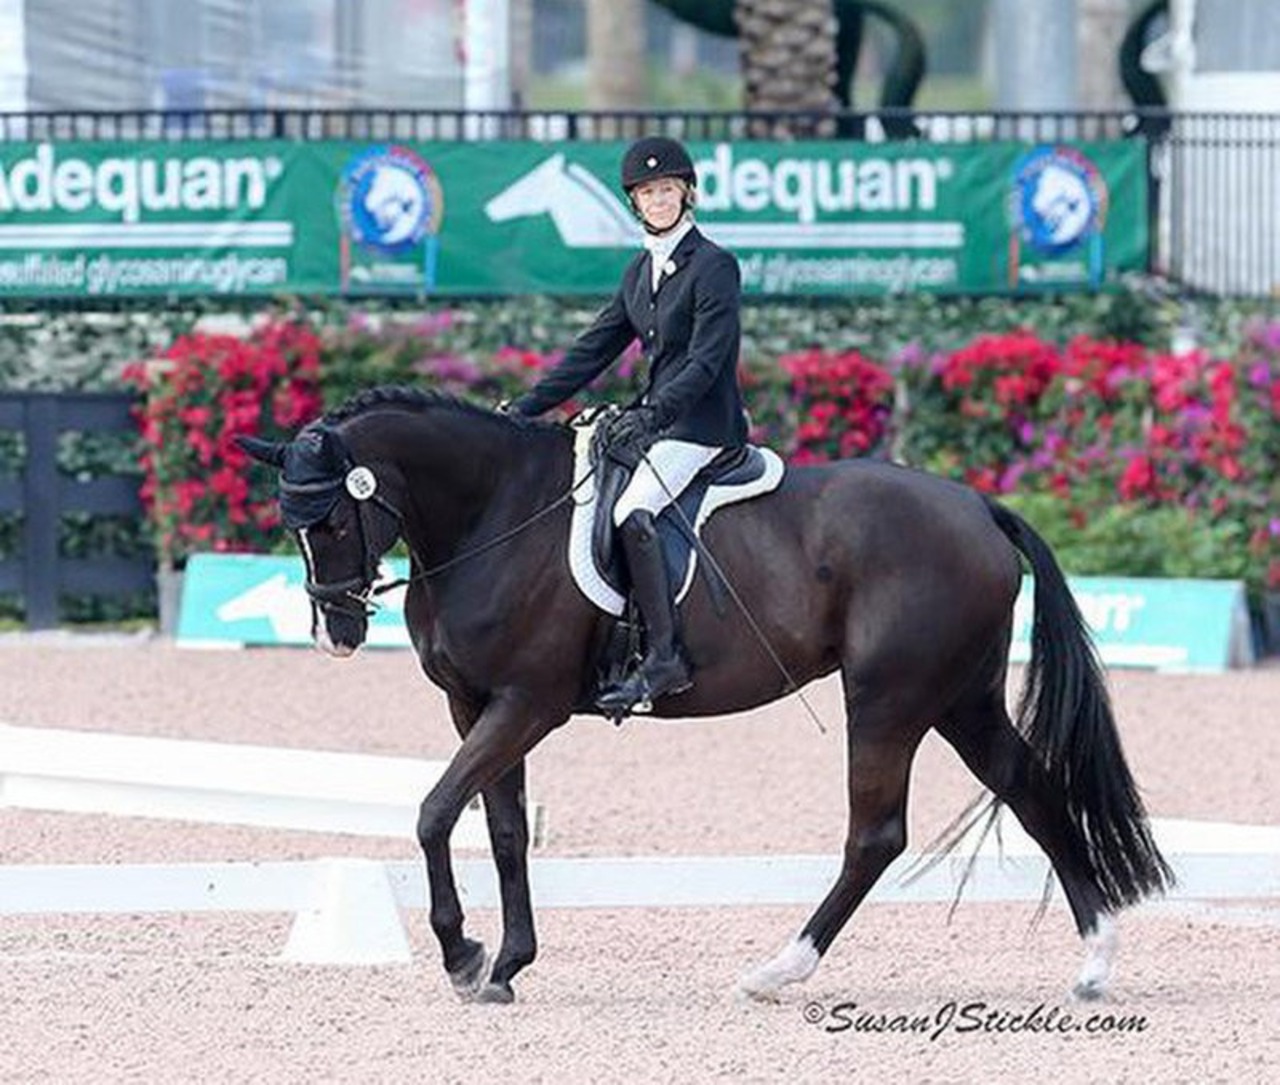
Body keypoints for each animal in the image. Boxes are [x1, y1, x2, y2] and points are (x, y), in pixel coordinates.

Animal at [240, 386, 1172, 1003]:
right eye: (292, 523)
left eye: (333, 518)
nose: (336, 632)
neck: (491, 515)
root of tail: (979, 506)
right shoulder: (475, 704)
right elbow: (501, 830)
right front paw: (505, 964)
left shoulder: (527, 703)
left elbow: (435, 811)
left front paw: (464, 955)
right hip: (960, 699)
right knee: (1032, 788)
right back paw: (1095, 961)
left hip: (888, 699)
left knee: (876, 833)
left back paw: (778, 969)